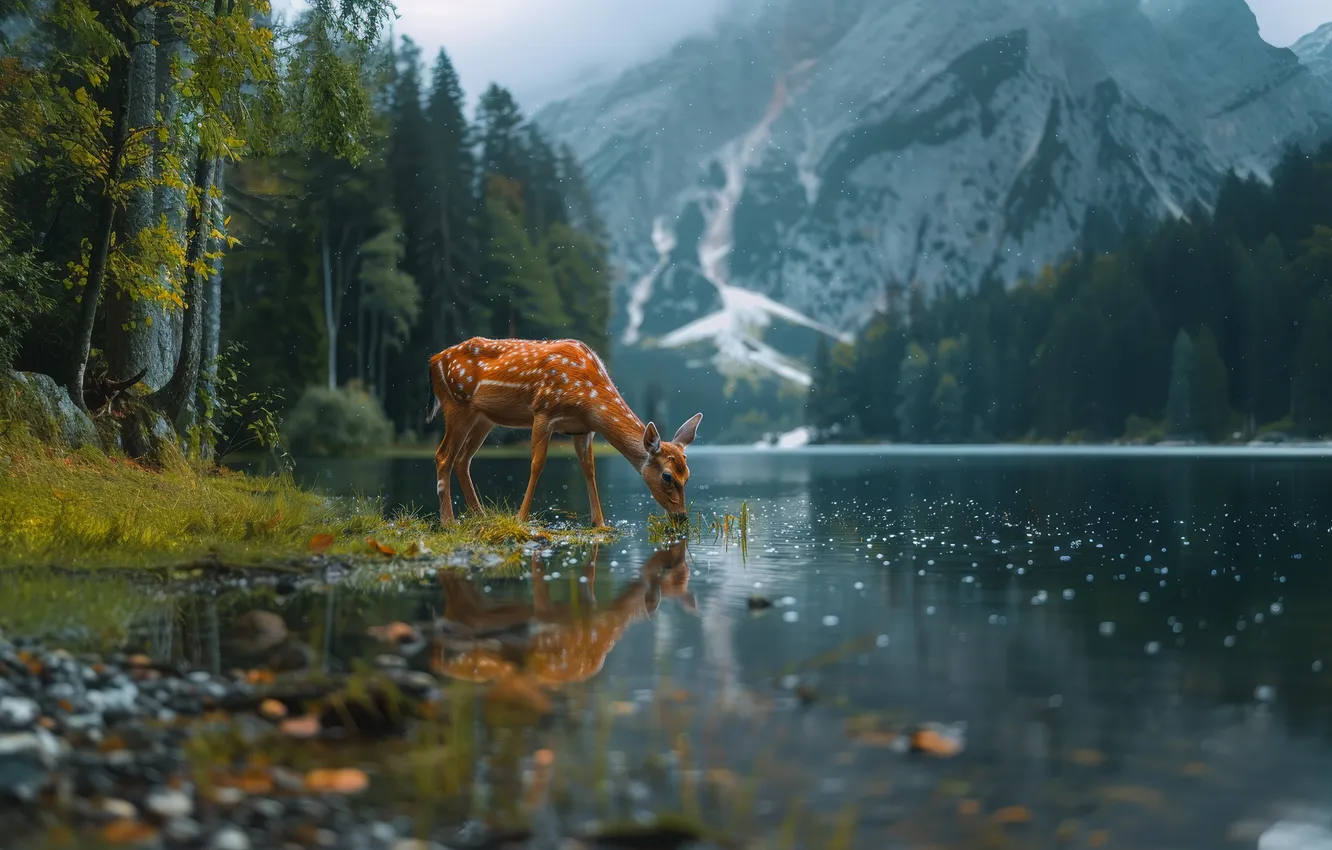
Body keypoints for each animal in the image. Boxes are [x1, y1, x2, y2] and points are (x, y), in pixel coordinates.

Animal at [426, 337, 703, 528]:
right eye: (667, 476)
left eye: (688, 475)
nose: (681, 517)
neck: (587, 398)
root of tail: (433, 361)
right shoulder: (543, 411)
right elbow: (537, 464)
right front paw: (521, 518)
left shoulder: (582, 429)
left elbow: (589, 470)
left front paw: (600, 523)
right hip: (456, 404)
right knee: (443, 455)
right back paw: (449, 522)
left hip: (483, 418)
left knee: (463, 459)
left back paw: (480, 515)